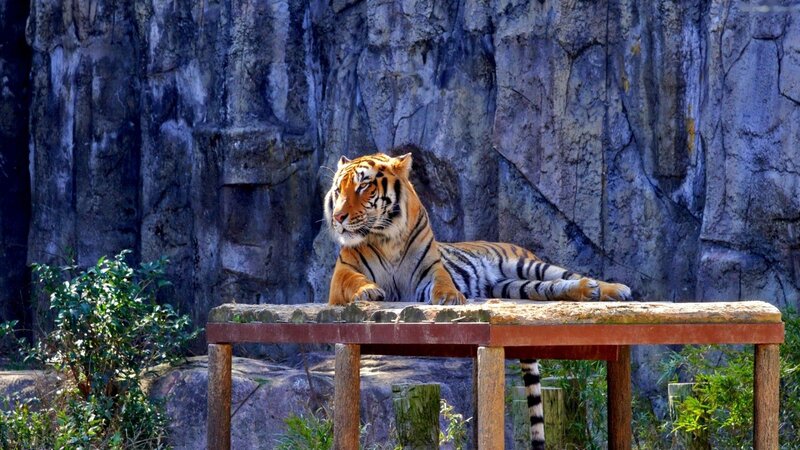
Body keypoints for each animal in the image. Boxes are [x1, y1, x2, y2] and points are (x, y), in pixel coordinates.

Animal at [324, 150, 632, 449]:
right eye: (338, 190)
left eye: (363, 186)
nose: (338, 218)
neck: (386, 237)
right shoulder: (342, 274)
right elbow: (355, 281)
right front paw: (368, 292)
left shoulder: (430, 271)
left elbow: (443, 282)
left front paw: (450, 298)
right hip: (516, 287)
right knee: (551, 287)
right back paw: (590, 290)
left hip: (528, 266)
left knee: (567, 275)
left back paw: (612, 289)